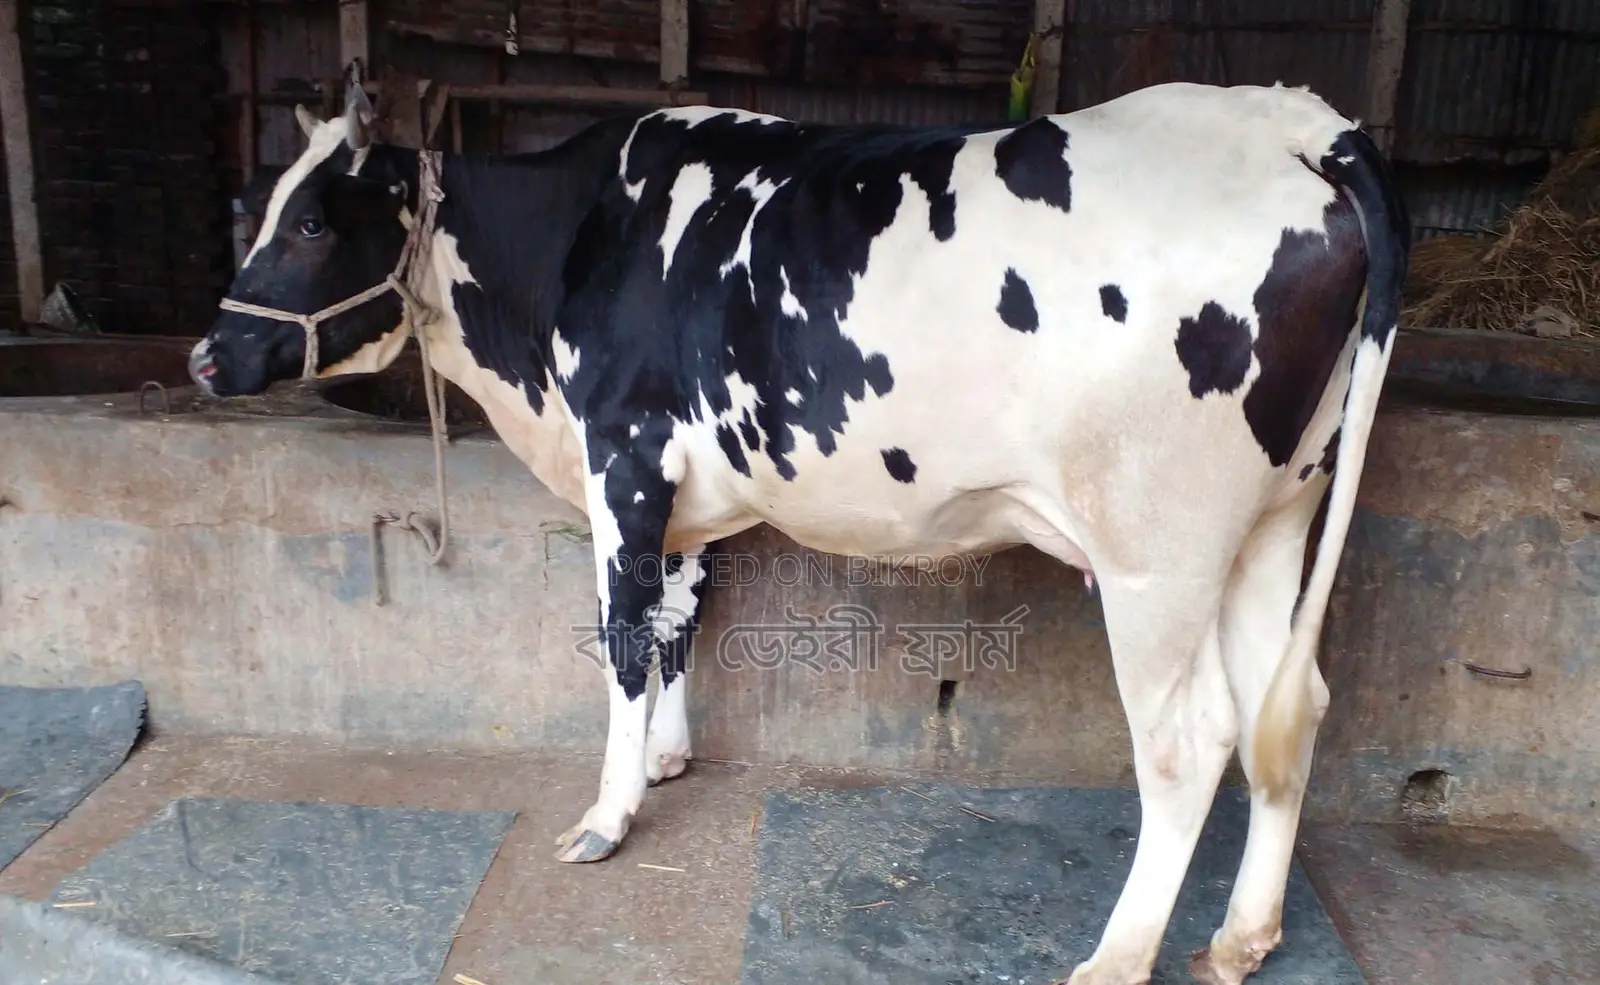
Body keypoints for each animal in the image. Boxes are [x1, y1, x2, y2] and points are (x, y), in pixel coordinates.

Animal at [188, 77, 1408, 985]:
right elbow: (681, 614)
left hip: (1156, 548)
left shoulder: (623, 453)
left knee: (1190, 737)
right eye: (256, 204)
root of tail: (1299, 120)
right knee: (1289, 709)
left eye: (310, 221)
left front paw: (608, 813)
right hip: (1273, 519)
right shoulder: (683, 484)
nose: (205, 356)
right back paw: (1241, 936)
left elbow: (623, 637)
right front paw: (667, 756)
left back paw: (1117, 956)